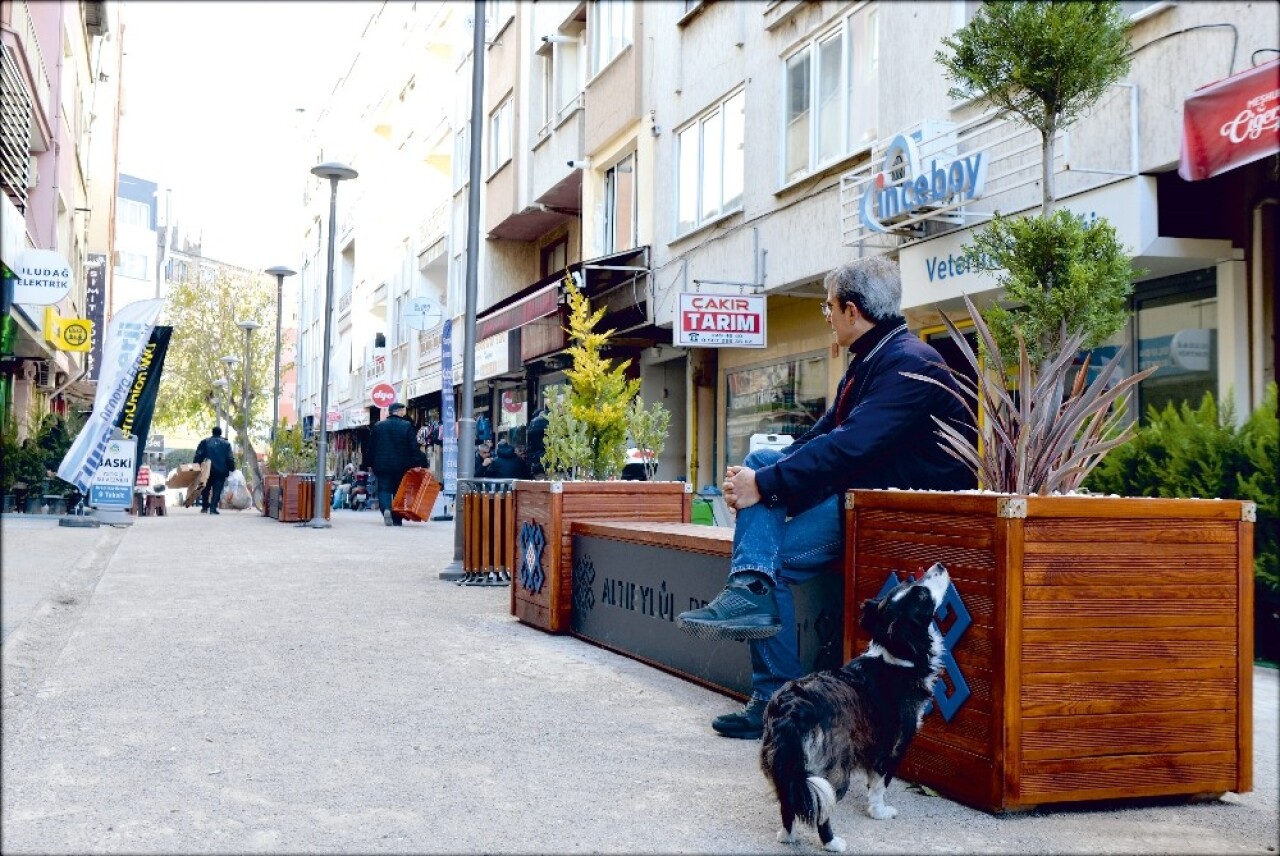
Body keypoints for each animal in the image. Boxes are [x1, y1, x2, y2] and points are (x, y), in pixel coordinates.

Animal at [757, 560, 952, 849]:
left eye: (909, 582)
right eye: (922, 596)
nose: (938, 565)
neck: (896, 658)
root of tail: (792, 710)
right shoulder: (892, 746)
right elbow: (881, 783)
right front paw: (879, 812)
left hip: (783, 762)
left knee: (789, 801)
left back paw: (788, 836)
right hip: (832, 769)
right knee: (822, 809)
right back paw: (832, 843)